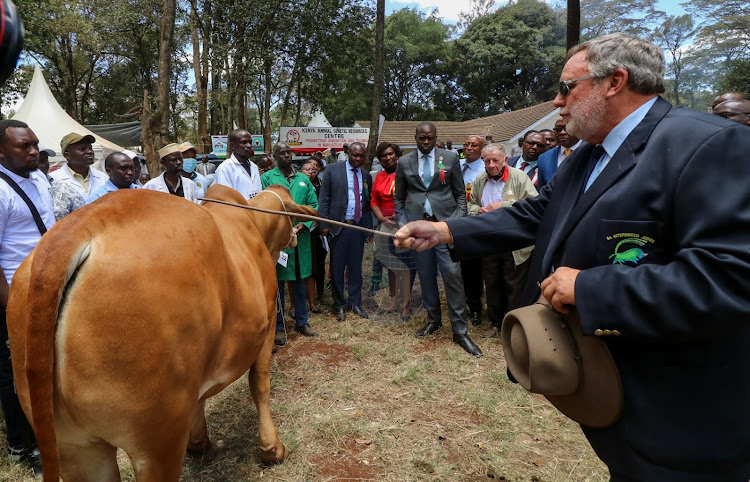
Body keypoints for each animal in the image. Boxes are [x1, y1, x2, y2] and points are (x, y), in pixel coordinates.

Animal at [3, 183, 314, 480]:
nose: (296, 235)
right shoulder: (267, 324)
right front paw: (271, 449)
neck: (253, 224)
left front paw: (198, 442)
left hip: (74, 448)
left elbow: (201, 398)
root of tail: (84, 223)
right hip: (156, 443)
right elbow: (259, 384)